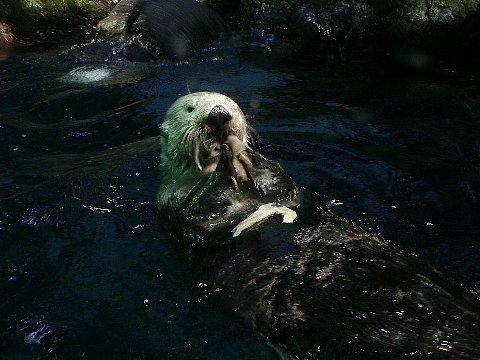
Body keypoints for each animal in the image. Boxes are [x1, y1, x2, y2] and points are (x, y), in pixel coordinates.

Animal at [158, 92, 480, 358]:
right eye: (190, 108)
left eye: (230, 104)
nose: (219, 115)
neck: (245, 198)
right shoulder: (172, 207)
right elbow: (200, 217)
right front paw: (221, 171)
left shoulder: (291, 193)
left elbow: (282, 185)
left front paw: (248, 159)